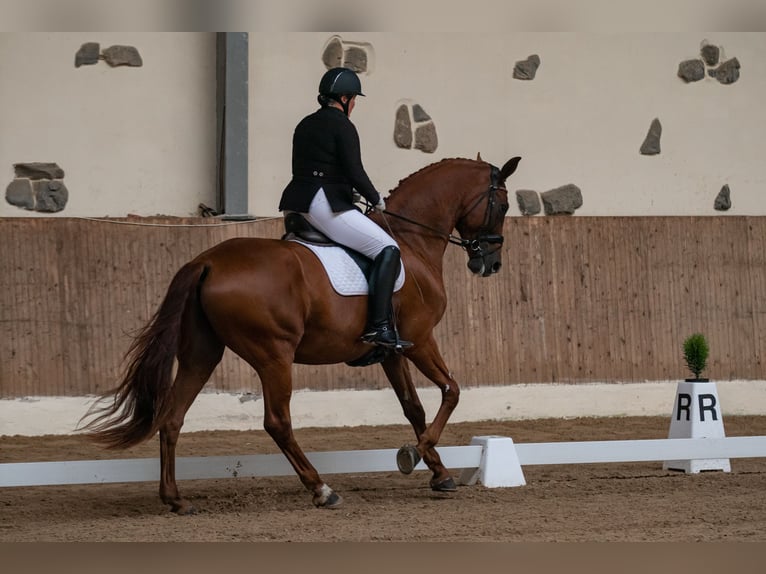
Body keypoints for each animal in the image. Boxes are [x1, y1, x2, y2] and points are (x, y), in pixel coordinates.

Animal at [82, 155, 520, 516]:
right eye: (502, 205)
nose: (491, 263)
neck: (410, 242)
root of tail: (206, 262)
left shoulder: (394, 350)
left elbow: (413, 407)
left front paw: (439, 473)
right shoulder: (421, 338)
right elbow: (451, 391)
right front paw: (414, 454)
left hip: (201, 354)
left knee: (172, 417)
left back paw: (175, 499)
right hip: (274, 355)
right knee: (277, 422)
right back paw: (322, 490)